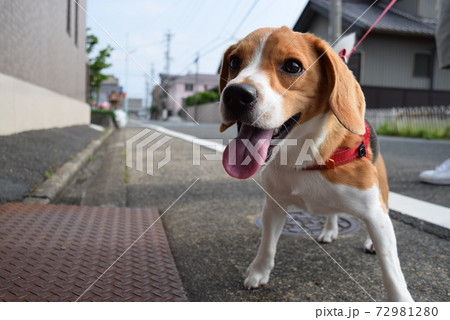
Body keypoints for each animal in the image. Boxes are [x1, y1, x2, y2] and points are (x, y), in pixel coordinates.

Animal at [220, 26, 414, 302]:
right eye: (234, 61)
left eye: (293, 66)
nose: (236, 94)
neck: (303, 153)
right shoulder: (274, 204)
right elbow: (267, 243)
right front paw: (258, 271)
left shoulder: (374, 213)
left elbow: (391, 269)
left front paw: (401, 300)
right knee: (332, 211)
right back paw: (330, 229)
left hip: (382, 191)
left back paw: (368, 243)